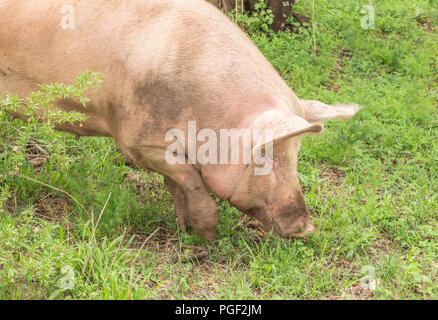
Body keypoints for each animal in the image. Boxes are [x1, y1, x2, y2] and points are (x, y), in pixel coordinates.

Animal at [0, 0, 360, 240]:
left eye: (296, 157)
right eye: (266, 158)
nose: (308, 228)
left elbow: (176, 183)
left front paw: (186, 230)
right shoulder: (133, 137)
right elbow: (188, 177)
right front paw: (208, 234)